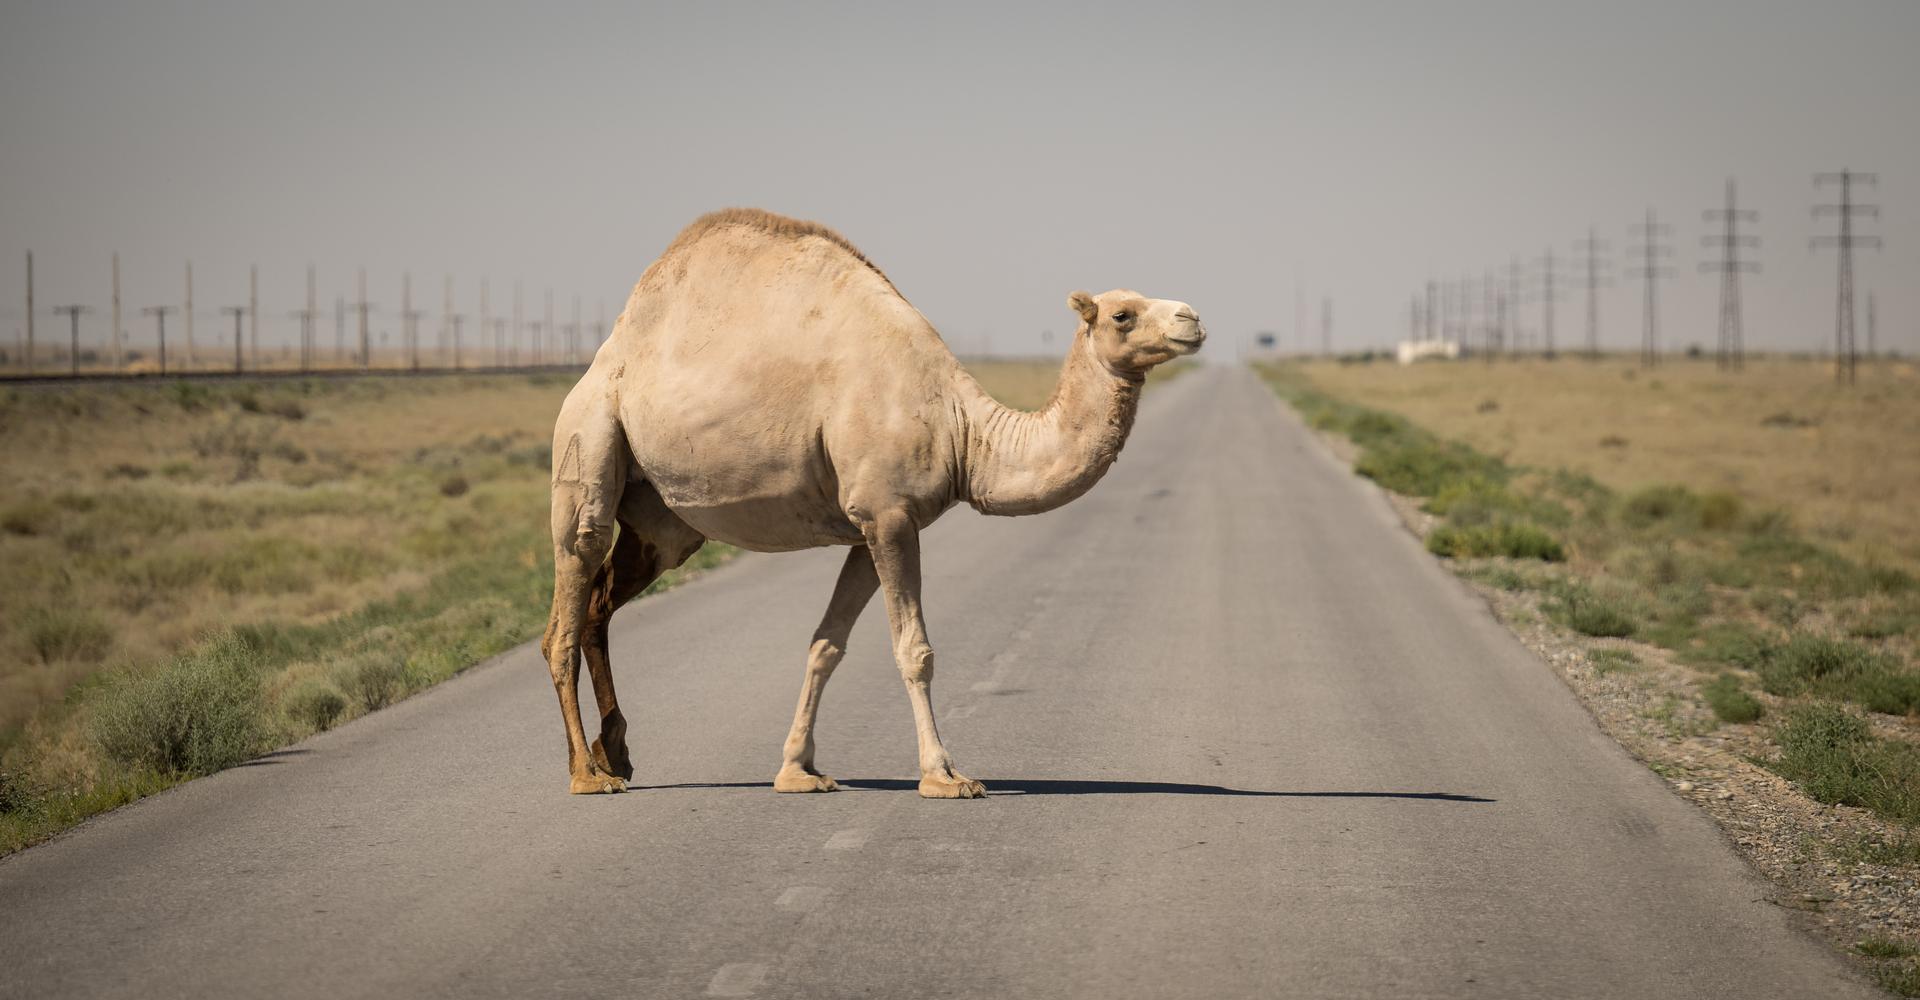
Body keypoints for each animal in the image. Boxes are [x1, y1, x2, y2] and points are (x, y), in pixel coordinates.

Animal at [539, 208, 1204, 797]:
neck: (963, 430)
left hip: (663, 521)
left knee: (600, 603)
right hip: (588, 434)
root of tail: (603, 358)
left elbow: (826, 644)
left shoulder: (870, 526)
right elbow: (915, 650)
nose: (1193, 317)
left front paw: (797, 771)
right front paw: (944, 776)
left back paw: (616, 753)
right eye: (1122, 314)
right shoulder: (888, 515)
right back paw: (587, 776)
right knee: (570, 593)